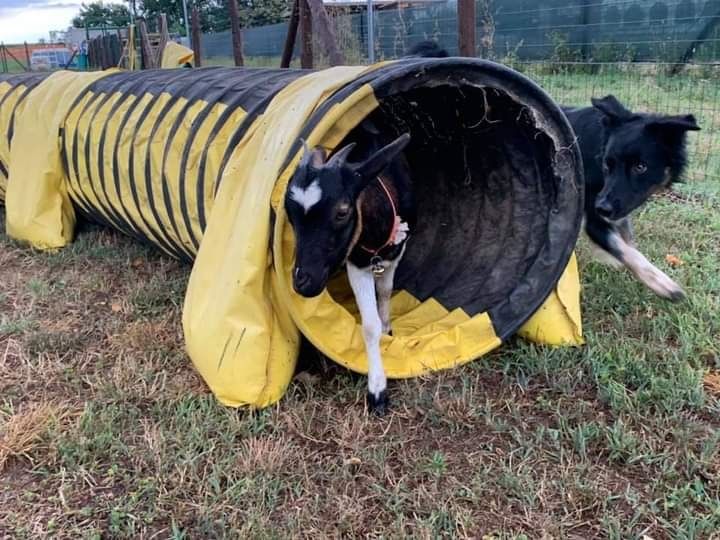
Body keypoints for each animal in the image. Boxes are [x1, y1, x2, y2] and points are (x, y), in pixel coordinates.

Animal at [284, 126, 414, 414]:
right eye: (289, 214)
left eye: (342, 211)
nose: (303, 282)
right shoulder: (357, 263)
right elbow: (369, 326)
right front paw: (377, 390)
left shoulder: (398, 250)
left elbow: (386, 291)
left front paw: (388, 327)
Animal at [564, 95, 700, 302]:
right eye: (607, 164)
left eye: (640, 167)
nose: (602, 208)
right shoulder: (595, 219)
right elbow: (626, 251)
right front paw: (664, 285)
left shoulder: (617, 209)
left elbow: (628, 242)